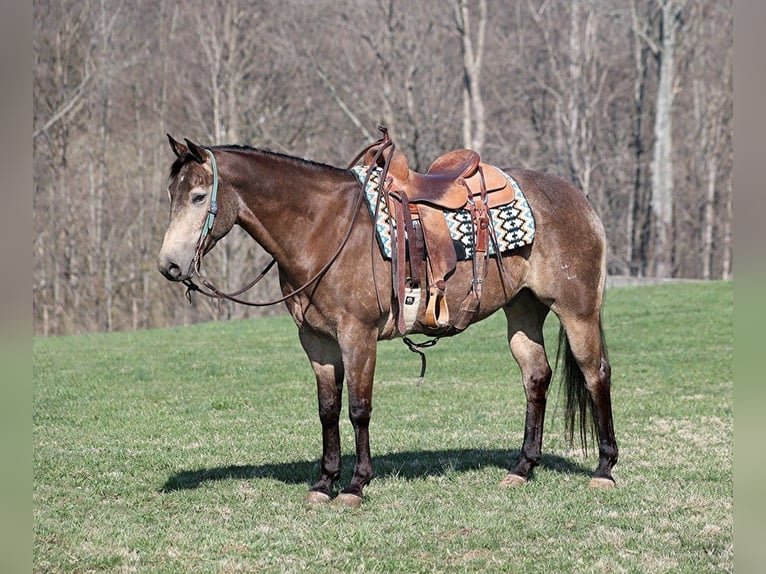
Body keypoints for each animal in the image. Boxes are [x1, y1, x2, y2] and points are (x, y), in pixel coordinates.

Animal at [156, 130, 616, 508]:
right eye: (172, 195)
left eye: (199, 196)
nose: (170, 266)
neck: (323, 228)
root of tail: (578, 197)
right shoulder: (316, 340)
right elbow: (327, 409)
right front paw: (323, 483)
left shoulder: (357, 335)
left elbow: (359, 408)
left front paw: (355, 485)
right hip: (523, 310)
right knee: (536, 377)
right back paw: (522, 469)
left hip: (577, 311)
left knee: (596, 374)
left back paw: (604, 469)